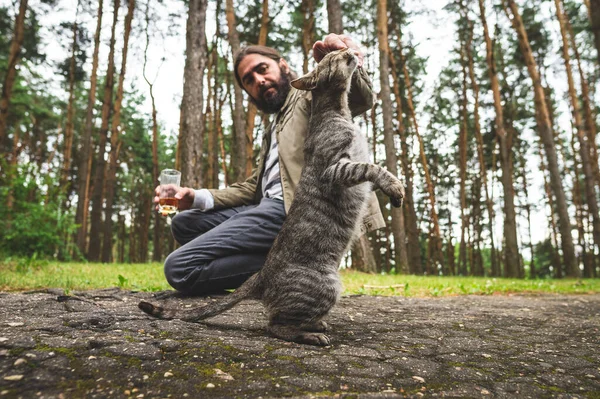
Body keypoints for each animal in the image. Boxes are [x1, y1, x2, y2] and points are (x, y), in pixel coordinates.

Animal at [138, 47, 406, 346]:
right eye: (335, 56)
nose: (347, 48)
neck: (339, 112)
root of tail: (261, 275)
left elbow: (372, 170)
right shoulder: (335, 167)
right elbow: (372, 168)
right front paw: (395, 187)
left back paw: (316, 324)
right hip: (326, 286)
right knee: (275, 326)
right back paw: (311, 333)